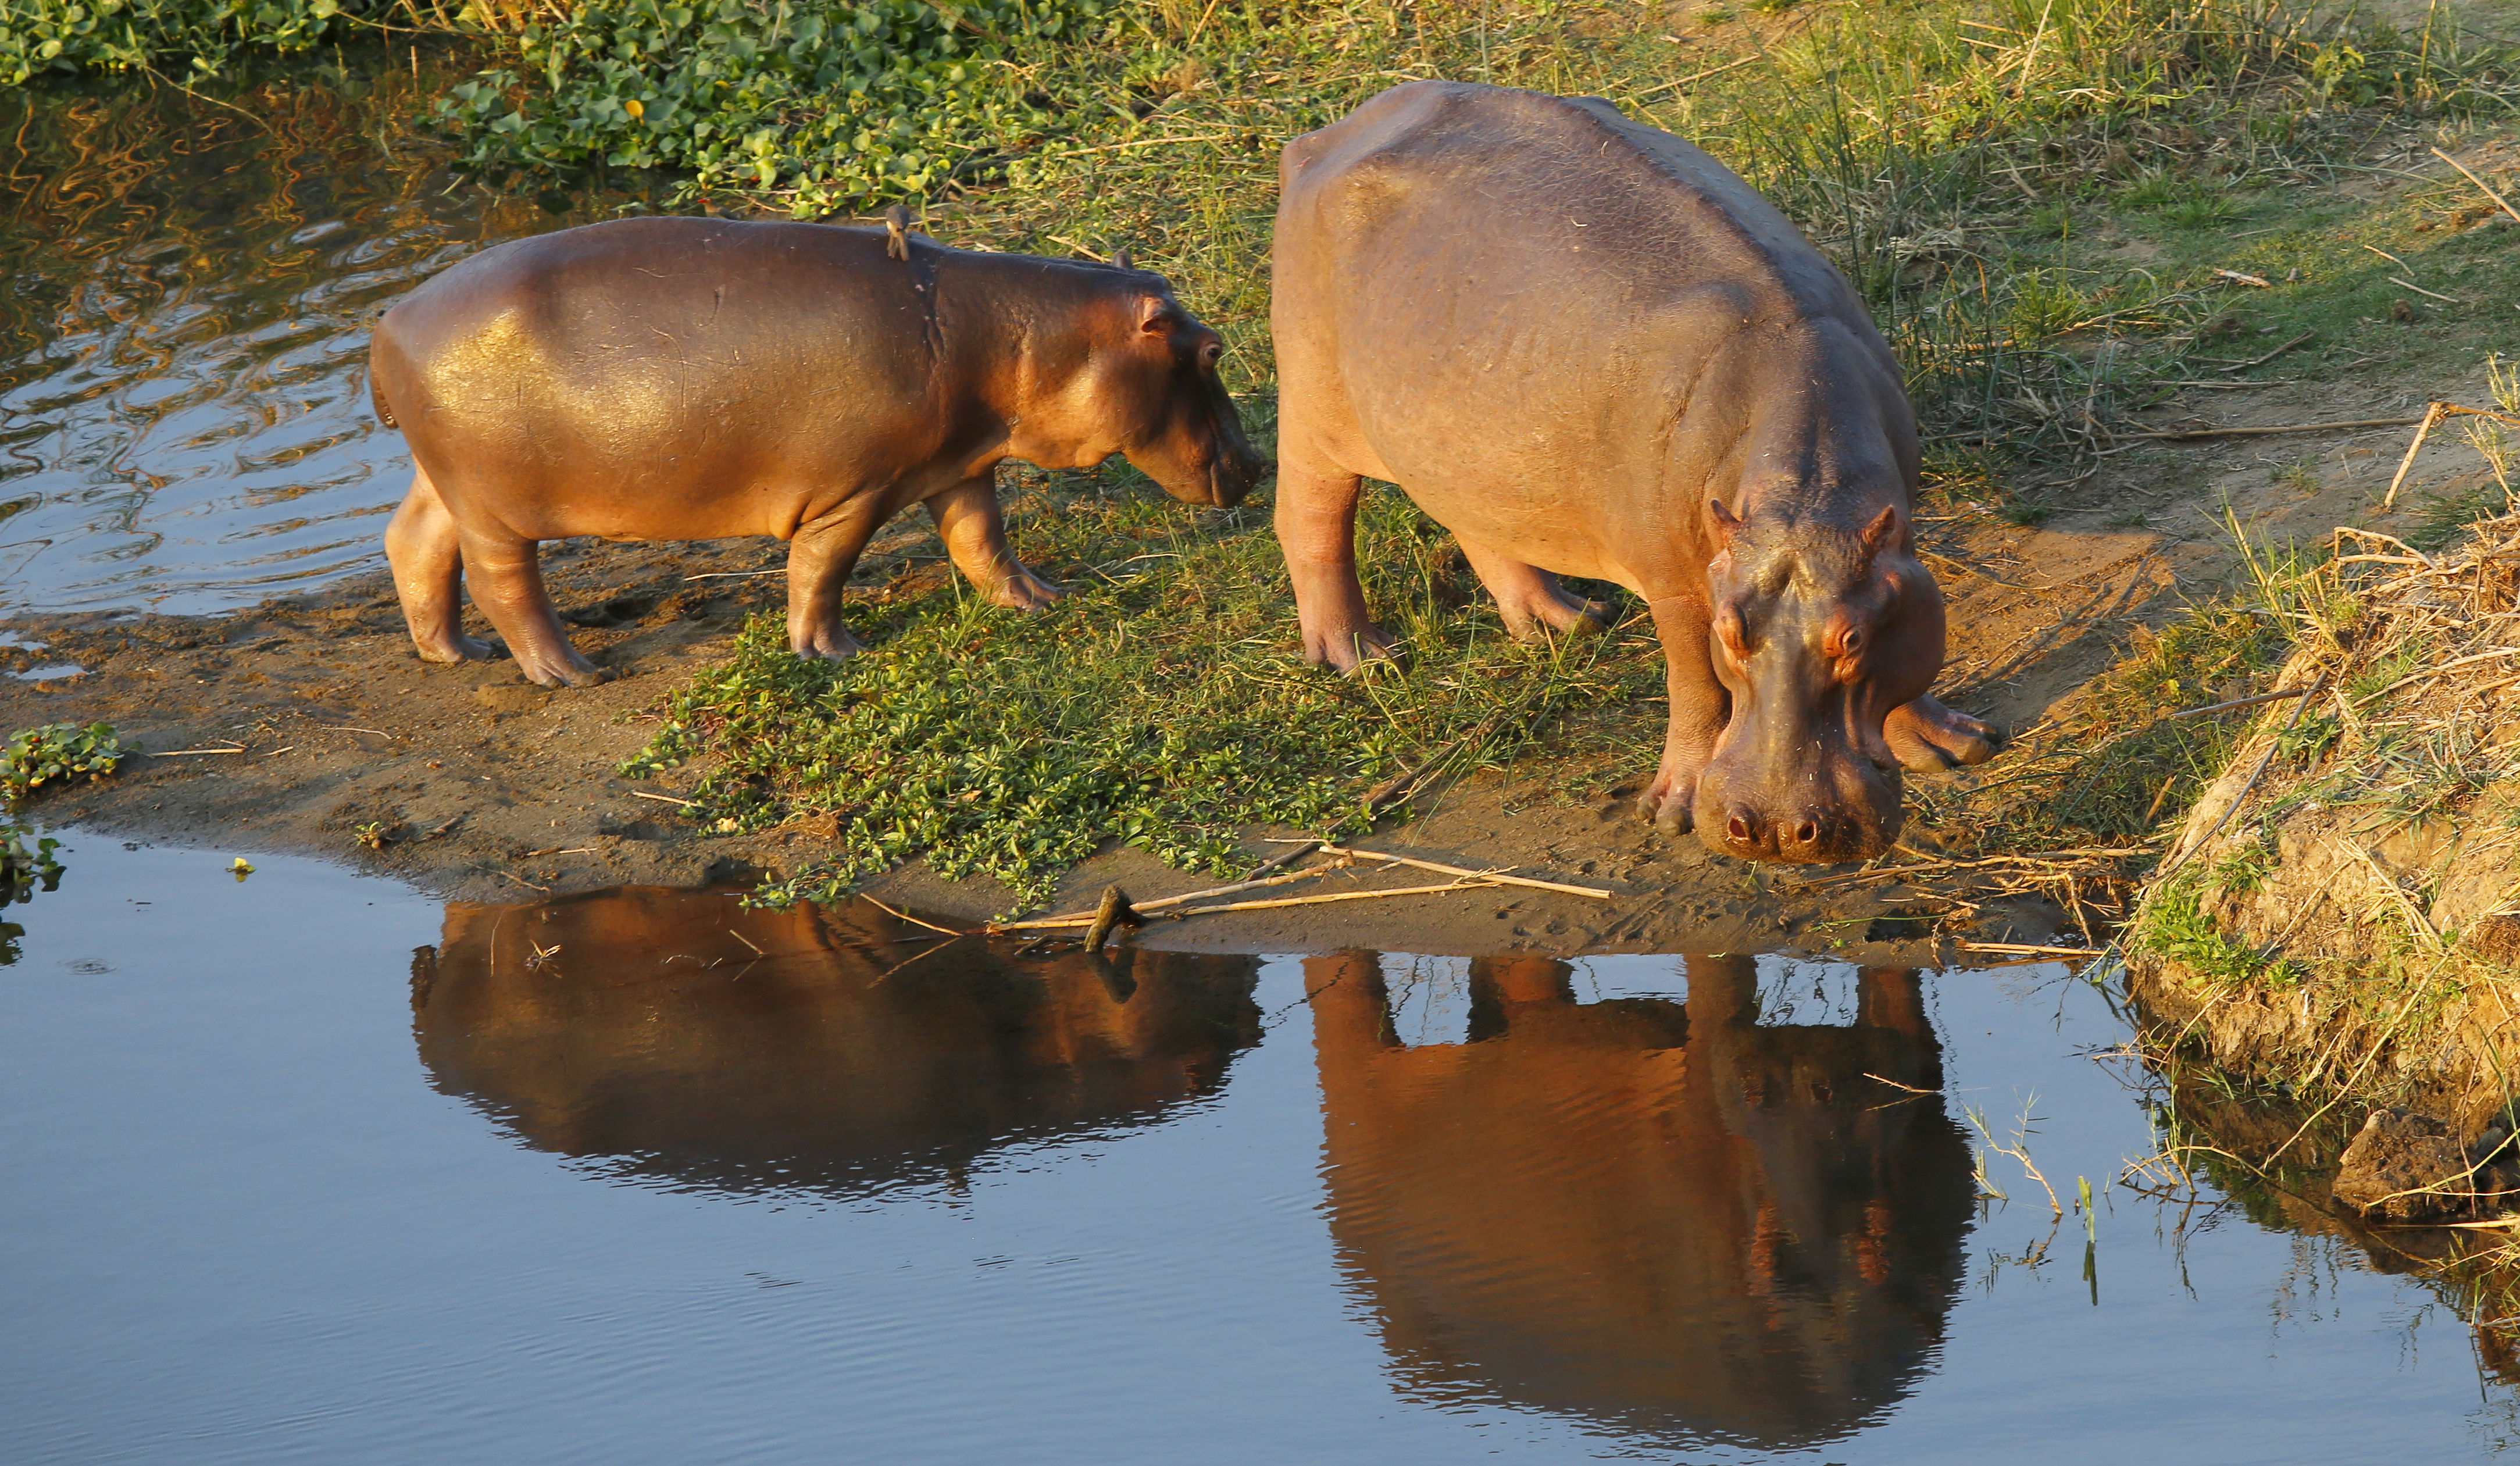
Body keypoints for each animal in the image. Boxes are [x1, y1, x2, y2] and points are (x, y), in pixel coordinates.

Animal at [370, 213, 1266, 687]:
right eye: (1211, 350)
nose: (1261, 463)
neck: (1027, 336)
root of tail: (388, 321)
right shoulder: (854, 490)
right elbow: (821, 570)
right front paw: (833, 653)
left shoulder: (960, 465)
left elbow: (982, 543)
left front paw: (1041, 600)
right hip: (493, 506)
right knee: (502, 582)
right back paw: (572, 672)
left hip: (442, 483)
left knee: (413, 543)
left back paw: (454, 653)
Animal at [1271, 81, 1997, 863]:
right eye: (1730, 632)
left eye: (1852, 639)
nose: (1776, 831)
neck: (1806, 494)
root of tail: (1330, 131)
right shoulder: (1676, 582)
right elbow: (1695, 688)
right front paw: (1672, 809)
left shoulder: (1887, 549)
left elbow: (1905, 668)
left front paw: (1954, 745)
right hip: (1315, 408)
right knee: (1311, 519)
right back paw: (1361, 658)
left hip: (1465, 444)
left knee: (1481, 525)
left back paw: (1564, 624)